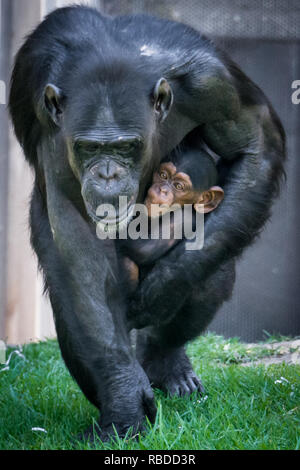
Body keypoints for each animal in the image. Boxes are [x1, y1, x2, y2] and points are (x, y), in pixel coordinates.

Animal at [9, 6, 286, 440]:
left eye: (126, 146)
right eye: (90, 148)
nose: (107, 174)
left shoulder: (212, 84)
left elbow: (254, 147)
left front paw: (164, 290)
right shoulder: (58, 132)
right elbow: (76, 232)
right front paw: (123, 400)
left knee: (214, 266)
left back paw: (165, 363)